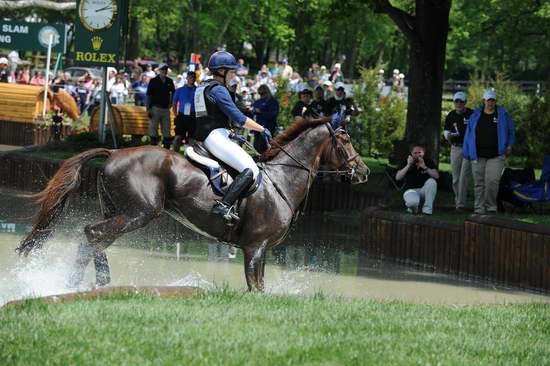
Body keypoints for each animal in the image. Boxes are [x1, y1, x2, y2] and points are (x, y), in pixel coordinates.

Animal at [16, 118, 370, 290]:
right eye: (346, 140)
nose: (363, 171)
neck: (281, 179)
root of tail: (114, 152)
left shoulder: (263, 250)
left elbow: (261, 286)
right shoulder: (254, 247)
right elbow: (256, 288)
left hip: (120, 212)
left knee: (93, 239)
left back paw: (80, 284)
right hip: (138, 214)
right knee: (92, 234)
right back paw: (95, 282)